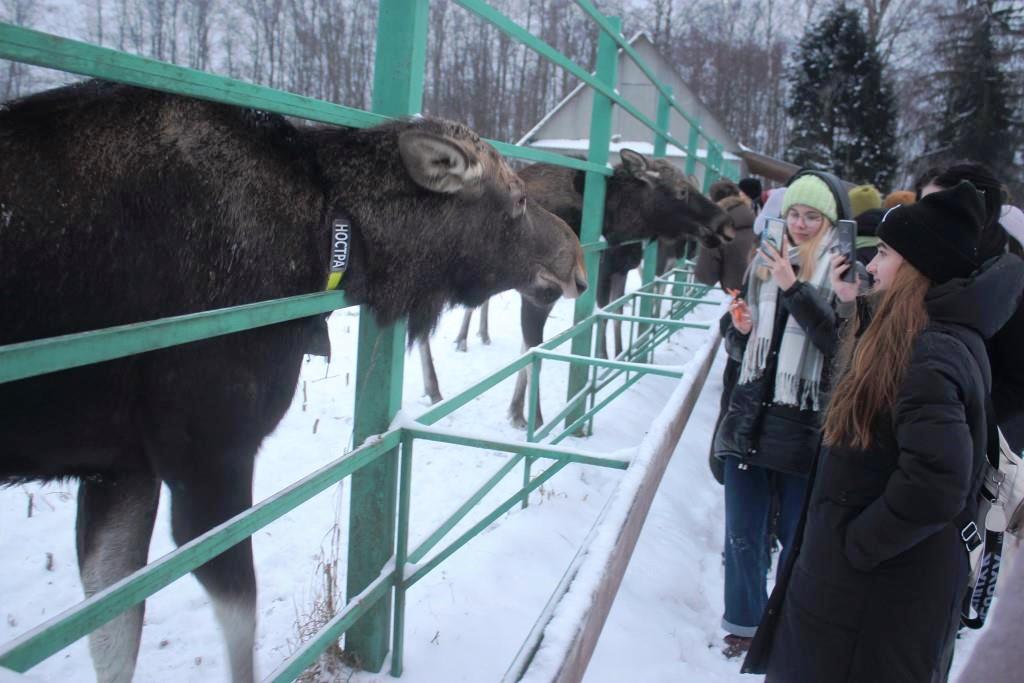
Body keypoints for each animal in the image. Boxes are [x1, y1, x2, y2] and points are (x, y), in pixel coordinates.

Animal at [0, 81, 589, 683]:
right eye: (517, 198)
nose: (578, 265)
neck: (328, 238)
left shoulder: (120, 467)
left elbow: (116, 634)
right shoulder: (207, 456)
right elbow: (239, 621)